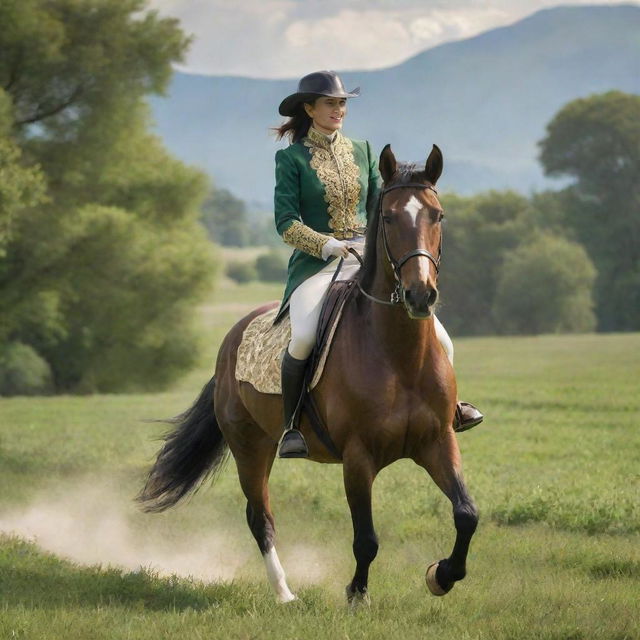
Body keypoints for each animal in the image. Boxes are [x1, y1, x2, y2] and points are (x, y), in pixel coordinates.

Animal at [140, 144, 480, 604]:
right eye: (389, 218)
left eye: (438, 215)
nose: (420, 295)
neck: (399, 356)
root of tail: (231, 339)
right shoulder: (357, 457)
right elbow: (366, 538)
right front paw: (357, 595)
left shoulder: (437, 441)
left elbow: (466, 514)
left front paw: (441, 575)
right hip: (250, 446)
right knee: (259, 516)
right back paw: (284, 593)